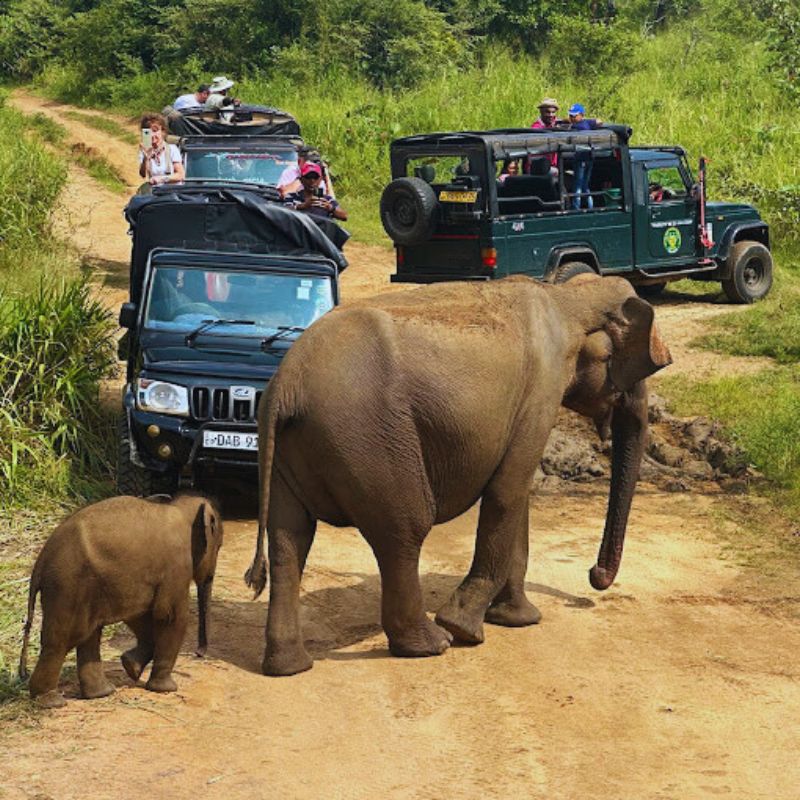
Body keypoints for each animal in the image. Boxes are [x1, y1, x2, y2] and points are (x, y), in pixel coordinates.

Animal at [19, 494, 225, 708]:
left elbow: (139, 615)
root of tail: (40, 562)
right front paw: (166, 689)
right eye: (219, 547)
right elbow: (170, 617)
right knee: (62, 641)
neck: (181, 510)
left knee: (88, 635)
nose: (199, 654)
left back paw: (101, 693)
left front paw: (131, 667)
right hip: (68, 586)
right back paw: (51, 702)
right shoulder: (176, 566)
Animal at [247, 276, 672, 676]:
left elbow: (517, 495)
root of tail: (285, 386)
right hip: (369, 441)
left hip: (293, 448)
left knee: (290, 540)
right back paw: (434, 643)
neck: (568, 297)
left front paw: (519, 619)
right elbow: (508, 491)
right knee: (405, 531)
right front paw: (466, 629)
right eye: (630, 371)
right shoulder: (542, 389)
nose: (594, 575)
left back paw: (289, 667)